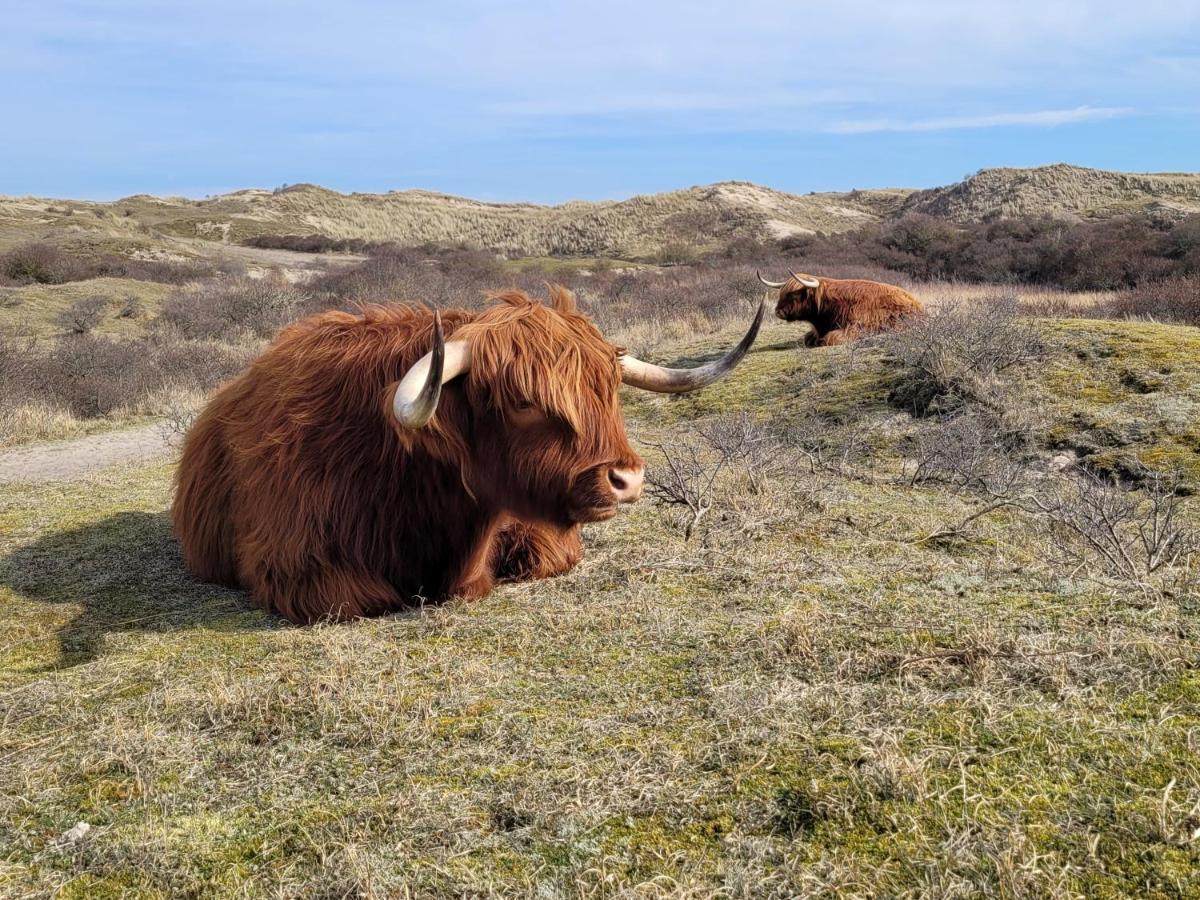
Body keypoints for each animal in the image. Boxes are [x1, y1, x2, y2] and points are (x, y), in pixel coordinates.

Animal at [174, 285, 763, 624]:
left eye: (609, 389)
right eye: (522, 401)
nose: (626, 480)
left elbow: (547, 556)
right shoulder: (293, 561)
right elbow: (366, 596)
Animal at [758, 270, 926, 348]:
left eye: (795, 295)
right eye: (781, 294)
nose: (777, 312)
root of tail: (918, 304)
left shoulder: (854, 328)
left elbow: (829, 339)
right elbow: (807, 338)